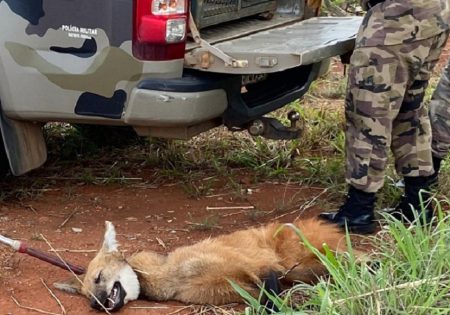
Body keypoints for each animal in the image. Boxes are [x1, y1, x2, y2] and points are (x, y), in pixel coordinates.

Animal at [54, 221, 352, 312]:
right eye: (87, 297)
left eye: (98, 278)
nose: (95, 305)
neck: (169, 276)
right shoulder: (243, 288)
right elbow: (267, 301)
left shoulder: (259, 267)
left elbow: (272, 299)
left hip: (299, 259)